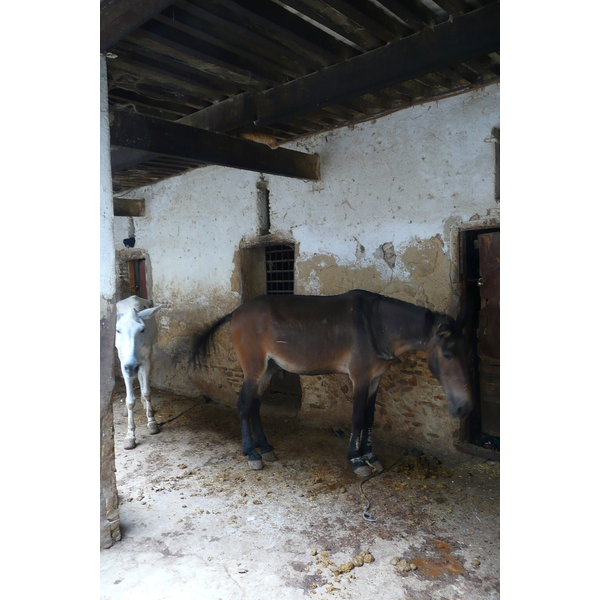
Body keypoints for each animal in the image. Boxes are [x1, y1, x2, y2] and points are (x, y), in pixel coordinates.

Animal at [113, 298, 162, 448]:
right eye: (118, 330)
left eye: (142, 330)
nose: (131, 367)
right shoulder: (123, 363)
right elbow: (129, 400)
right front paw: (130, 436)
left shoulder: (146, 360)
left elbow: (147, 392)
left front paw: (151, 422)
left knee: (141, 380)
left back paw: (146, 406)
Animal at [190, 290, 472, 478]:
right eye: (448, 354)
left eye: (469, 352)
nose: (464, 408)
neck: (376, 325)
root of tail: (236, 312)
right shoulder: (360, 377)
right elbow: (357, 417)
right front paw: (356, 459)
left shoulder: (375, 378)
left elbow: (369, 417)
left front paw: (370, 455)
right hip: (253, 369)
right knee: (243, 405)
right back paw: (251, 452)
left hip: (267, 370)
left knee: (255, 406)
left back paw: (266, 447)